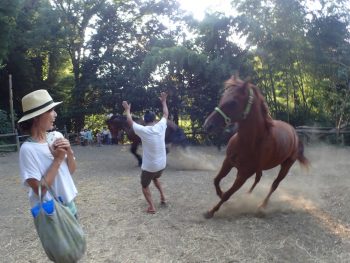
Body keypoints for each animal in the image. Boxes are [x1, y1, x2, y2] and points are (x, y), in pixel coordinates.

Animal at [202, 75, 308, 220]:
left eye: (233, 102)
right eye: (222, 97)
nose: (208, 125)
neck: (247, 141)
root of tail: (294, 133)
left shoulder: (244, 173)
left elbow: (228, 193)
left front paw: (211, 211)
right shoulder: (228, 162)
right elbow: (216, 180)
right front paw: (220, 194)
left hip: (286, 166)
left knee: (274, 185)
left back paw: (261, 207)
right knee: (258, 178)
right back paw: (247, 195)